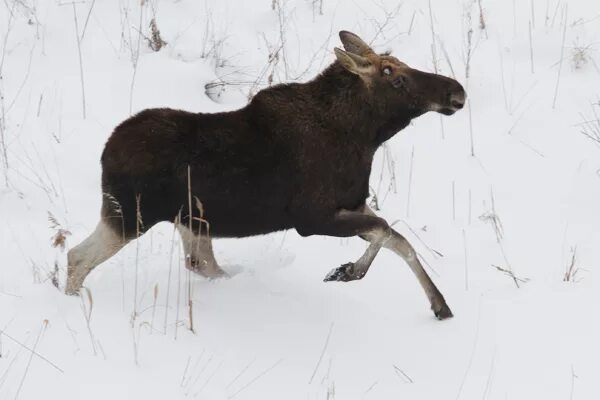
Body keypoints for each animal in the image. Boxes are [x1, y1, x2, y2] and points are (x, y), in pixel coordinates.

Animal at [68, 30, 466, 318]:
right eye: (392, 76)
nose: (457, 90)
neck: (365, 136)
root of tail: (106, 152)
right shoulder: (312, 217)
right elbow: (386, 230)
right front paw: (347, 271)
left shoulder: (351, 203)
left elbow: (399, 238)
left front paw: (441, 306)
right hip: (130, 216)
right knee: (76, 257)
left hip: (189, 220)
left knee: (199, 262)